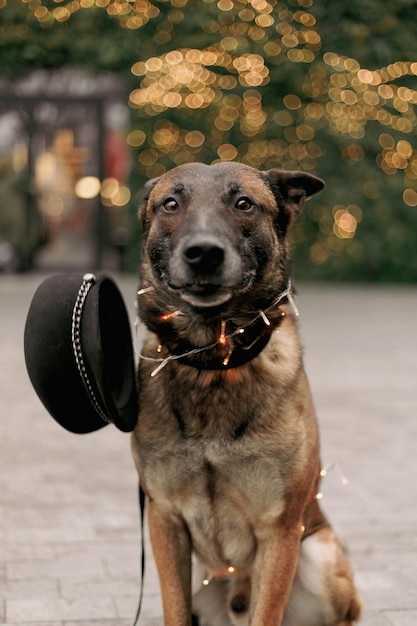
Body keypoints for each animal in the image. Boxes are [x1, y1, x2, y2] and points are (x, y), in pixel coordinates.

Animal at [132, 162, 360, 624]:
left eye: (244, 204)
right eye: (171, 204)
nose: (204, 253)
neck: (215, 361)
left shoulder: (281, 530)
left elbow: (265, 612)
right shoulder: (165, 522)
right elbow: (173, 609)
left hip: (320, 554)